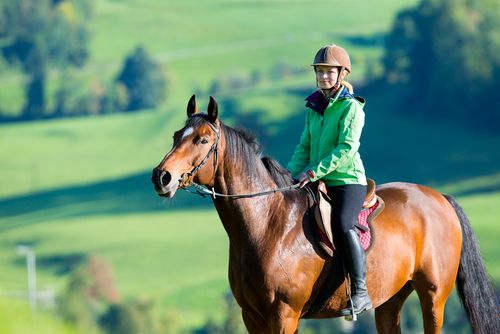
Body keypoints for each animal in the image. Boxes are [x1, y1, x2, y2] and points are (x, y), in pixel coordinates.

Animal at [152, 95, 500, 332]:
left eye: (203, 139)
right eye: (176, 136)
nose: (161, 177)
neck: (268, 225)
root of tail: (440, 198)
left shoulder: (284, 314)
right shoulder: (252, 316)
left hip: (433, 296)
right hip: (390, 301)